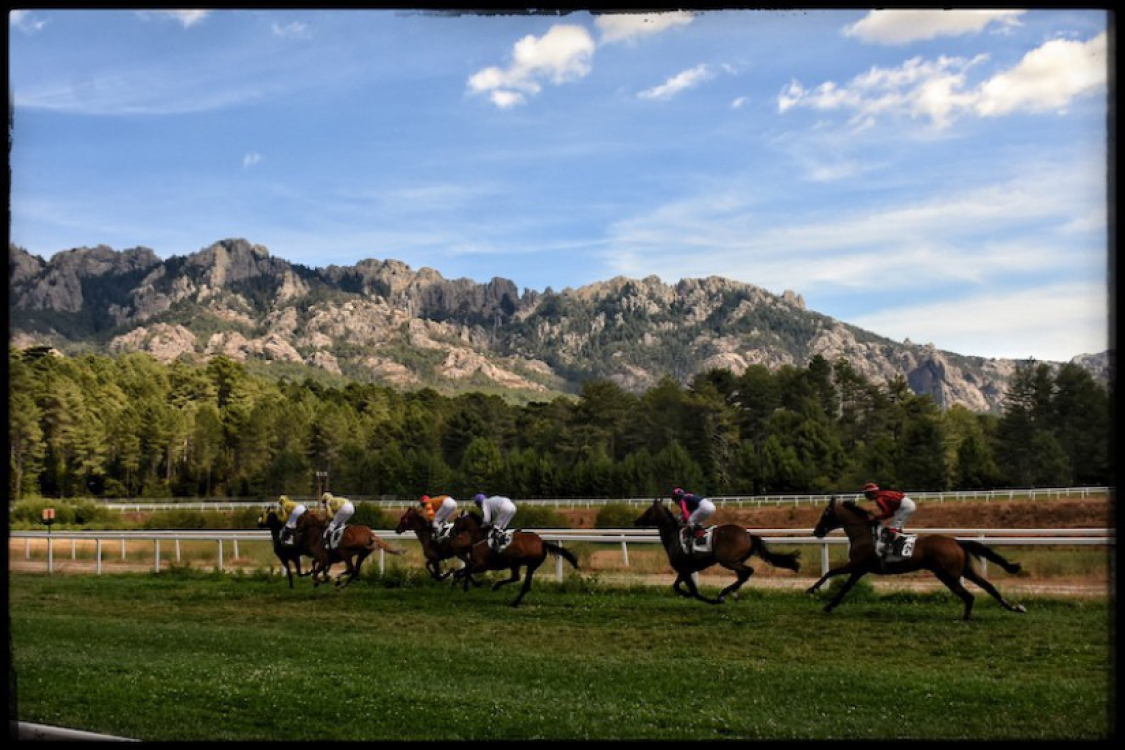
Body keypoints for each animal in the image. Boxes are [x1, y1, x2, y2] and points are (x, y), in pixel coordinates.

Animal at [445, 512, 580, 607]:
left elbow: (466, 571)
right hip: (528, 565)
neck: (481, 538)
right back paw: (513, 601)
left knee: (517, 578)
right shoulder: (477, 564)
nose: (450, 532)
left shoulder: (482, 565)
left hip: (517, 562)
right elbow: (463, 571)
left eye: (456, 521)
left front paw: (465, 584)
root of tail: (542, 543)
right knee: (523, 583)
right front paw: (461, 582)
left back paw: (499, 589)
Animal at [634, 501, 801, 607]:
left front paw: (710, 600)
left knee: (748, 571)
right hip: (736, 561)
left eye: (648, 511)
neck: (672, 536)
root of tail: (748, 535)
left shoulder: (684, 569)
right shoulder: (686, 570)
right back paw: (730, 593)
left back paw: (723, 594)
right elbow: (677, 586)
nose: (636, 521)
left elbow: (692, 591)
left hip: (727, 560)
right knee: (743, 575)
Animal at [810, 494, 1030, 620]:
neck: (863, 534)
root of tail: (956, 542)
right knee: (988, 587)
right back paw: (1015, 607)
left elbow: (833, 575)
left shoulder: (858, 566)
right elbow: (841, 583)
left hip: (948, 575)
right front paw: (826, 602)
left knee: (969, 595)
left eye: (826, 514)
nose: (817, 531)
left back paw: (966, 617)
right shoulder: (859, 569)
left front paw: (814, 592)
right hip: (963, 570)